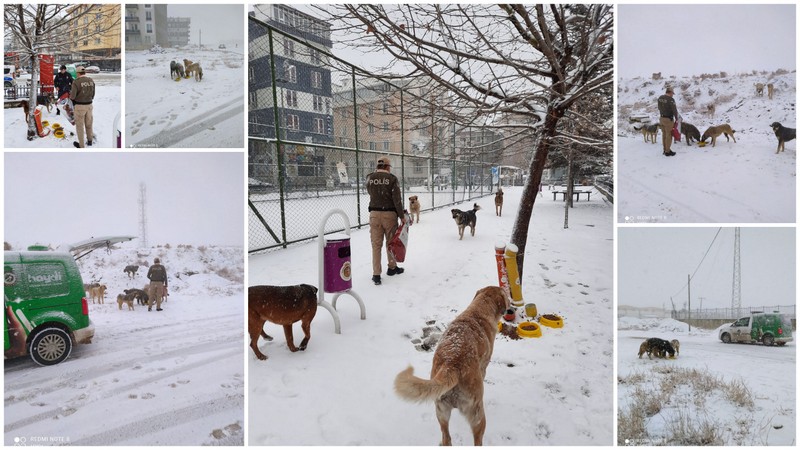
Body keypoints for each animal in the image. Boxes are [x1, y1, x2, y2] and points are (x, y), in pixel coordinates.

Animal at [396, 286, 512, 444]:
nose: (511, 305)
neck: (478, 311)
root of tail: (452, 365)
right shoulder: (484, 366)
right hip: (477, 415)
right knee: (477, 439)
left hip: (441, 411)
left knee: (447, 438)